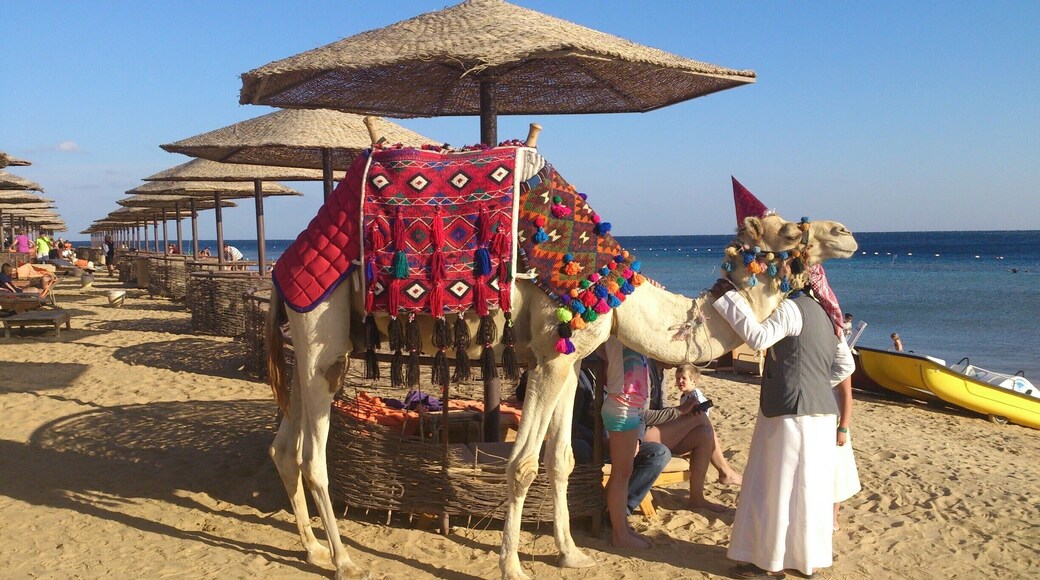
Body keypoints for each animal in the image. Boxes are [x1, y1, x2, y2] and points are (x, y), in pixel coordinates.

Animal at [264, 128, 858, 580]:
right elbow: (523, 463)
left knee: (284, 446)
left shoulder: (570, 362)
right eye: (790, 231)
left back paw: (312, 547)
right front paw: (512, 567)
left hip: (323, 351)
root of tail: (280, 266)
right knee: (313, 455)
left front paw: (571, 553)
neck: (616, 292)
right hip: (320, 328)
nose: (847, 232)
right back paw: (341, 559)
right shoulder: (549, 356)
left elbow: (562, 459)